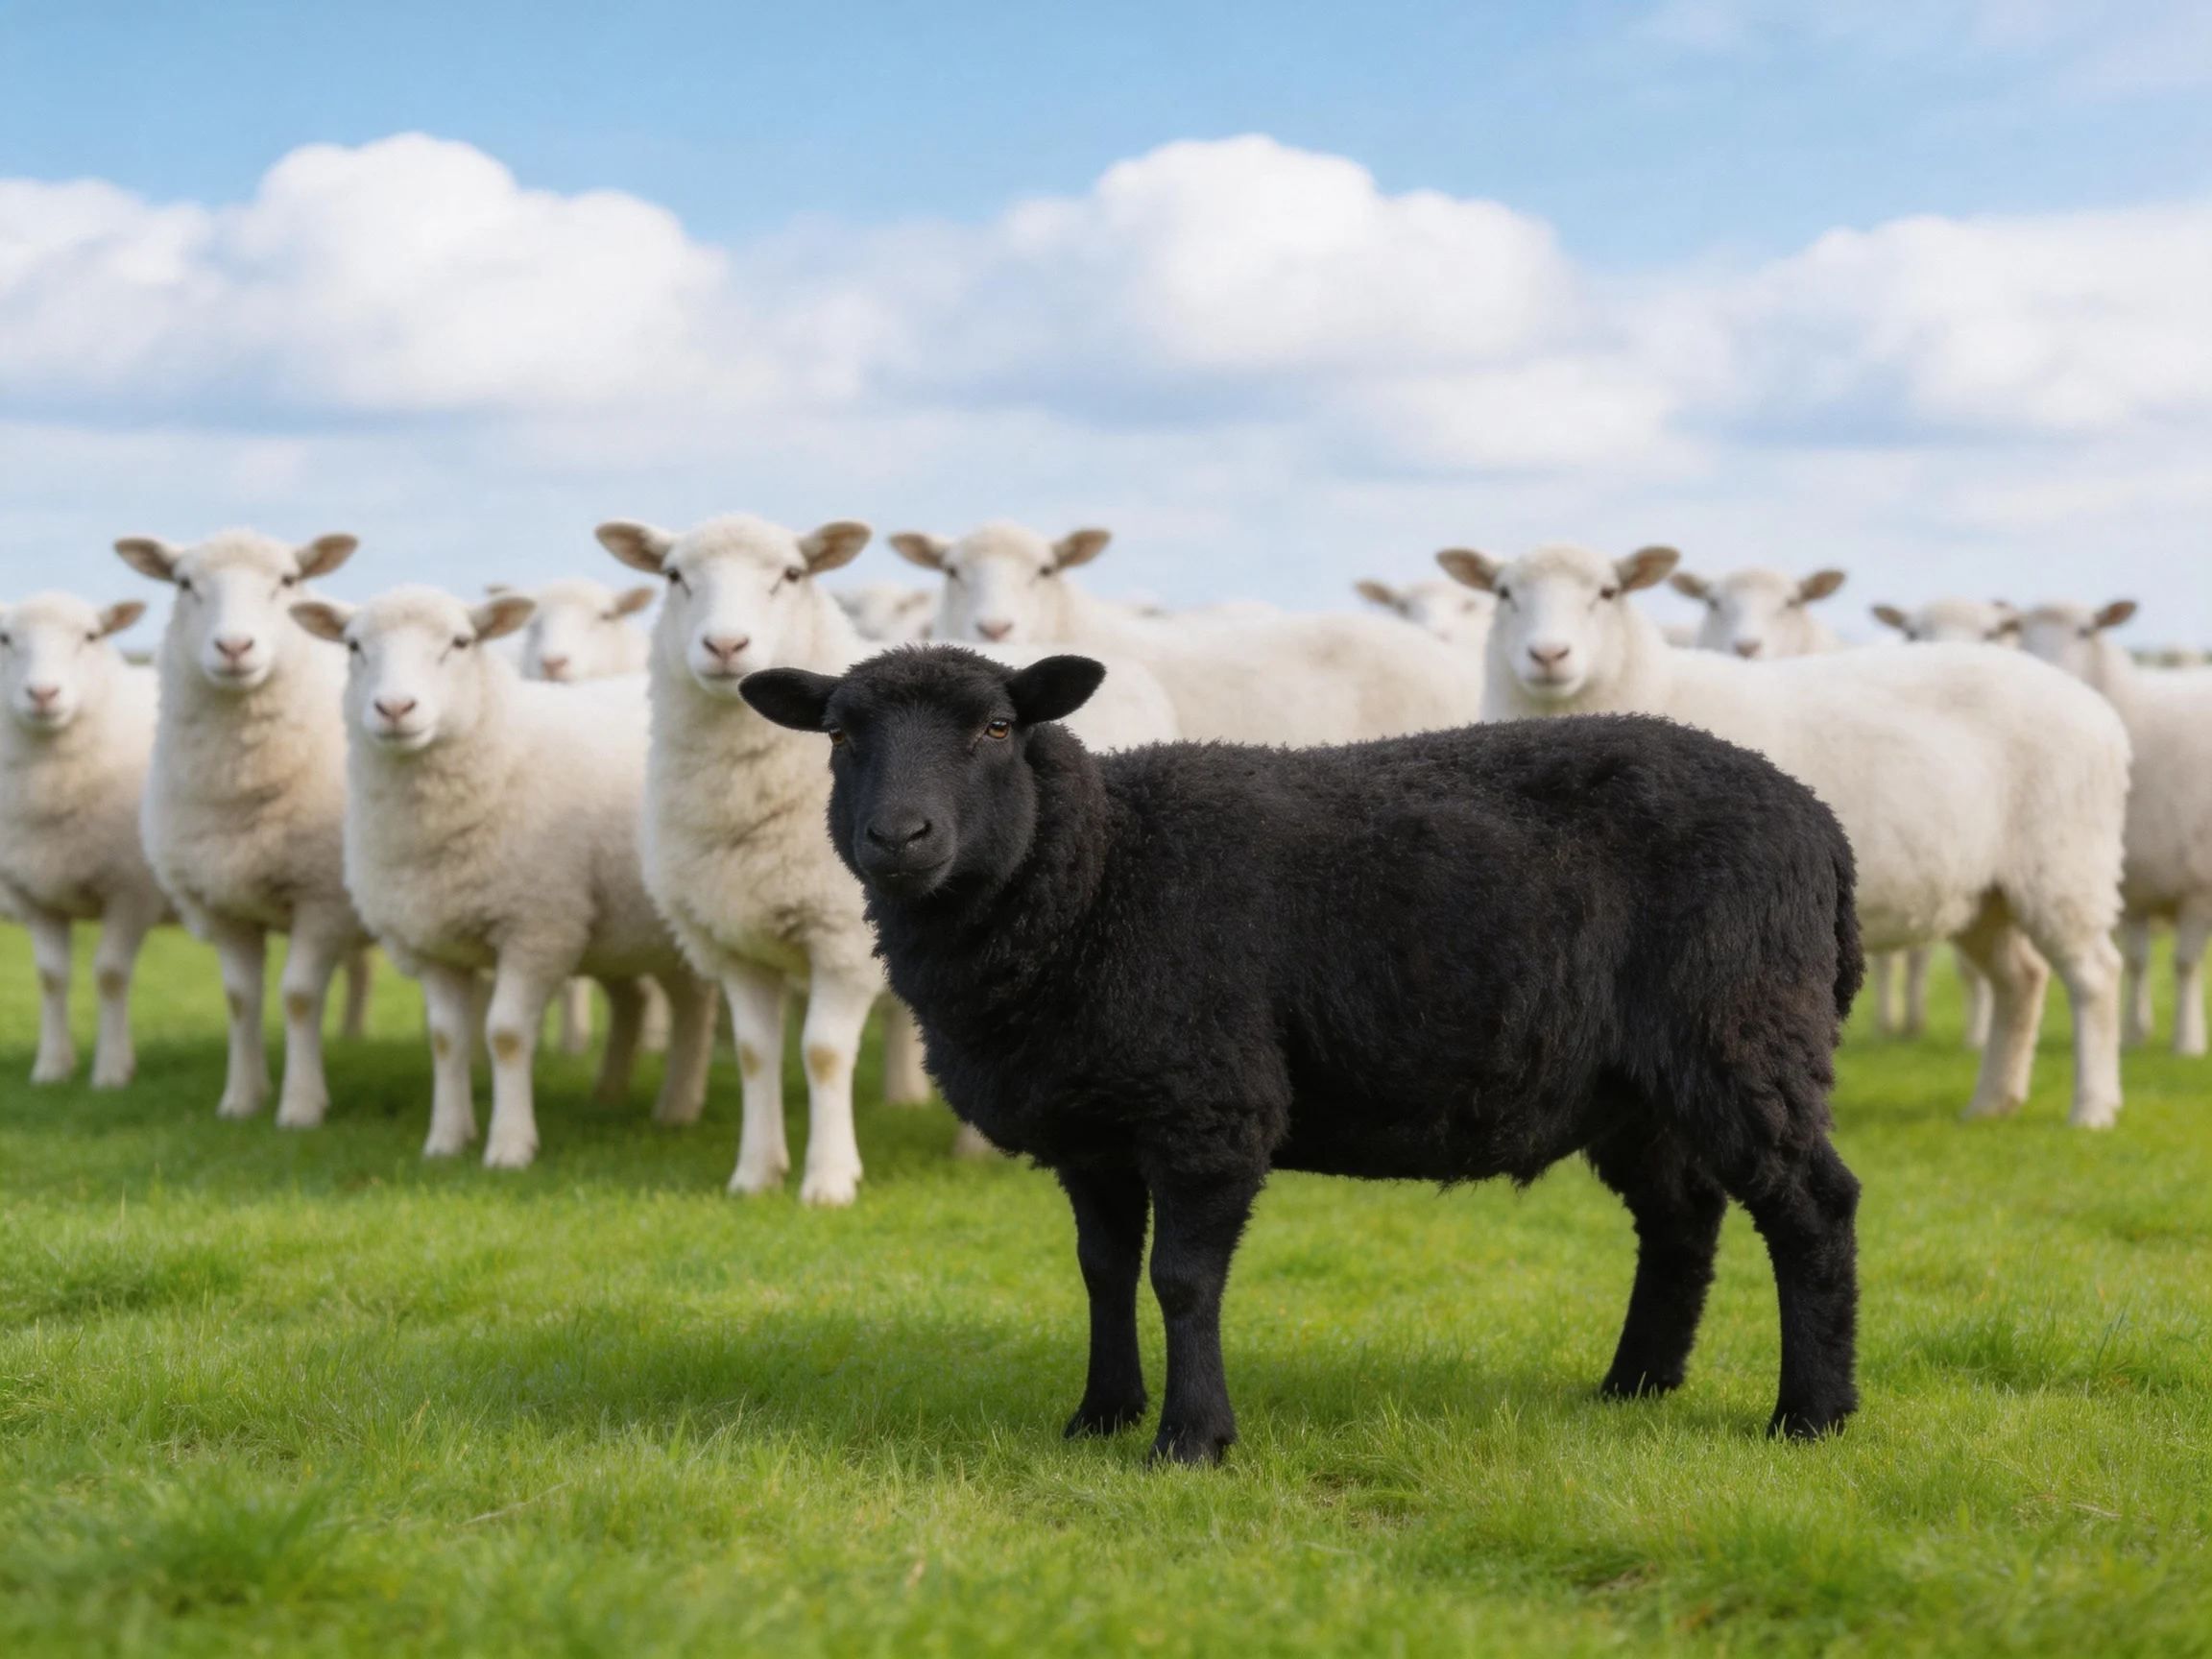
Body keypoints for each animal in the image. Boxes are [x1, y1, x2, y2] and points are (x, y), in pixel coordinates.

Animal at [0, 593, 174, 1086]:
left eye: (91, 636)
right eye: (5, 639)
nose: (43, 694)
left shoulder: (134, 892)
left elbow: (110, 974)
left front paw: (112, 1071)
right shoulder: (33, 897)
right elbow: (50, 977)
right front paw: (52, 1067)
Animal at [116, 530, 379, 1126]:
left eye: (287, 580)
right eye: (184, 583)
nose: (234, 648)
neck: (240, 786)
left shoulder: (322, 899)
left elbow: (299, 996)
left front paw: (301, 1106)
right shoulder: (221, 907)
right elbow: (241, 999)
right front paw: (242, 1099)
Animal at [595, 512, 1181, 1203]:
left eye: (792, 573)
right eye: (674, 576)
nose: (726, 646)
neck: (748, 802)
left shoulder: (841, 941)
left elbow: (821, 1051)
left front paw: (828, 1180)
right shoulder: (735, 944)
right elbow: (755, 1054)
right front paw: (756, 1175)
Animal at [739, 645, 1865, 1461]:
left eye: (998, 727)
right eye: (838, 734)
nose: (901, 837)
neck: (1098, 875)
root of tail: (1820, 823)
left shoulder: (1207, 1103)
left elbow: (1182, 1281)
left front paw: (1191, 1440)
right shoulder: (1093, 1127)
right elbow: (1102, 1273)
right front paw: (1099, 1417)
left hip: (1742, 1026)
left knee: (1814, 1207)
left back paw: (1810, 1416)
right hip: (1636, 1082)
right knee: (1680, 1220)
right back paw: (1633, 1387)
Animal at [2018, 600, 2212, 1057]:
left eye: (2086, 630)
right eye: (2021, 629)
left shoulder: (2198, 886)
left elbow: (2185, 963)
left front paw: (2187, 1042)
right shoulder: (2132, 886)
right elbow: (2138, 962)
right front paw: (2134, 1035)